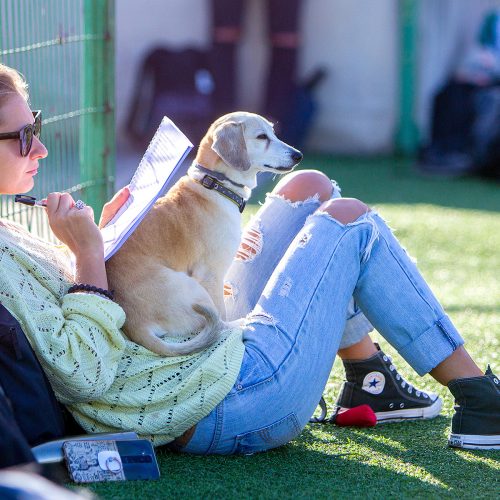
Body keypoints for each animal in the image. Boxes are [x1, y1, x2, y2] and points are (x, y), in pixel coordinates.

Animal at [107, 113, 302, 356]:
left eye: (273, 133)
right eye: (261, 137)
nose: (298, 155)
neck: (215, 185)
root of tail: (136, 324)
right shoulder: (212, 275)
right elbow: (222, 313)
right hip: (194, 288)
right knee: (220, 324)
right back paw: (242, 322)